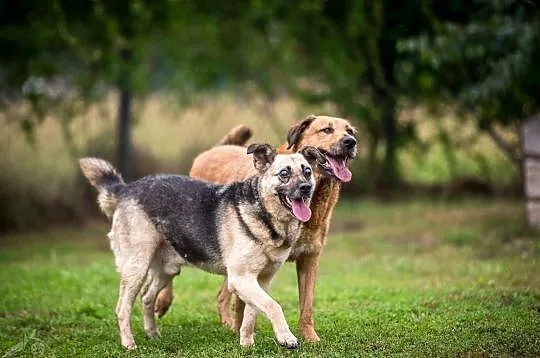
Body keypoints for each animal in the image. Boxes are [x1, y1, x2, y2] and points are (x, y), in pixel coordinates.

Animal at [80, 143, 324, 350]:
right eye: (284, 174)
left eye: (307, 171)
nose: (306, 188)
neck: (265, 217)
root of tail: (126, 189)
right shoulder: (241, 279)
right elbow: (274, 307)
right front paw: (286, 337)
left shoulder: (261, 281)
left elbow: (252, 315)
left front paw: (246, 344)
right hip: (136, 269)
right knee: (122, 308)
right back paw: (129, 344)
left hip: (166, 270)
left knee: (147, 298)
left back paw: (152, 334)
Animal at [154, 114, 356, 342]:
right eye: (327, 130)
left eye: (350, 130)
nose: (351, 142)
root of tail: (214, 150)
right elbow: (245, 304)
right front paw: (243, 333)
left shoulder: (309, 258)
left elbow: (306, 304)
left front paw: (309, 337)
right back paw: (164, 302)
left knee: (222, 295)